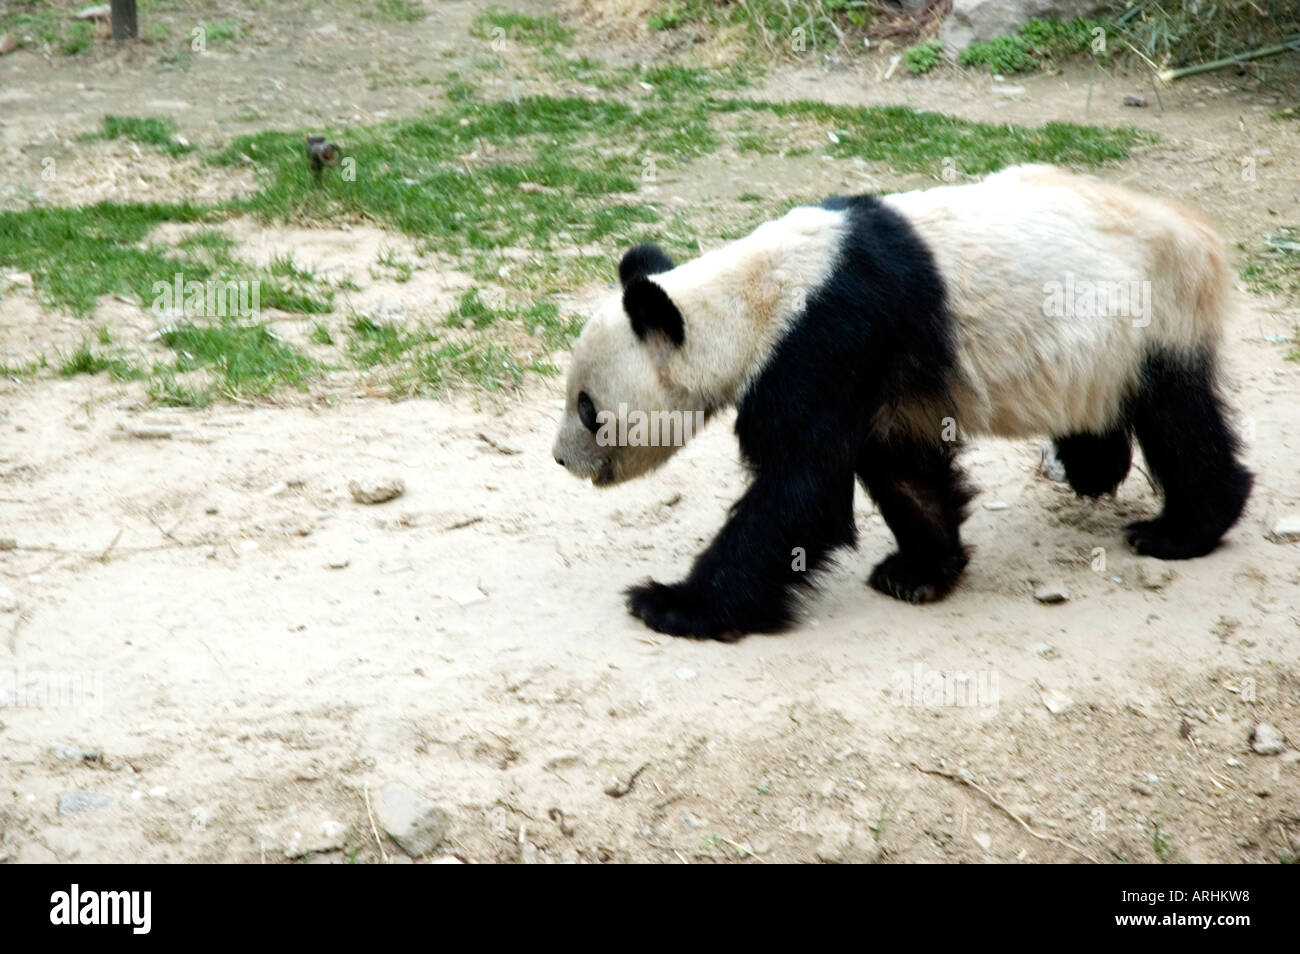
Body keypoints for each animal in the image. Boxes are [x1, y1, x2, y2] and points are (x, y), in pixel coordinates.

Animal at [548, 164, 1248, 642]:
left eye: (588, 408)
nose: (560, 459)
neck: (749, 297)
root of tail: (1200, 234)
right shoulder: (867, 370)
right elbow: (897, 465)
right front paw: (919, 570)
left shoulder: (826, 336)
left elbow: (800, 491)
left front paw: (672, 603)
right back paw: (1095, 466)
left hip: (1152, 314)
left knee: (1178, 419)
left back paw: (1182, 528)